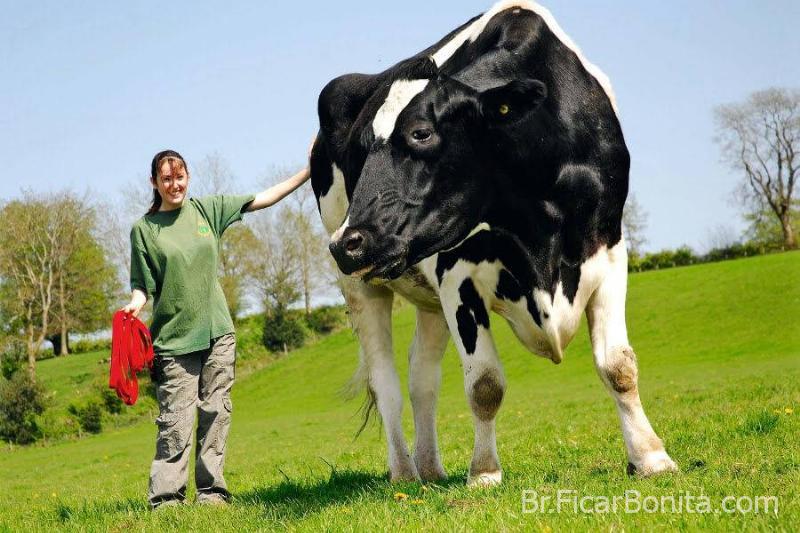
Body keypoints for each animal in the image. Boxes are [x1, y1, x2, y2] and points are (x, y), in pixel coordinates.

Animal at [310, 0, 680, 484]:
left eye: (421, 133)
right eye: (362, 147)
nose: (347, 242)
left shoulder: (609, 249)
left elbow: (619, 365)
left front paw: (651, 457)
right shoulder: (456, 274)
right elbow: (484, 384)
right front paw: (484, 472)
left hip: (426, 299)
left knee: (421, 377)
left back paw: (431, 470)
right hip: (361, 286)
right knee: (386, 383)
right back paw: (405, 474)